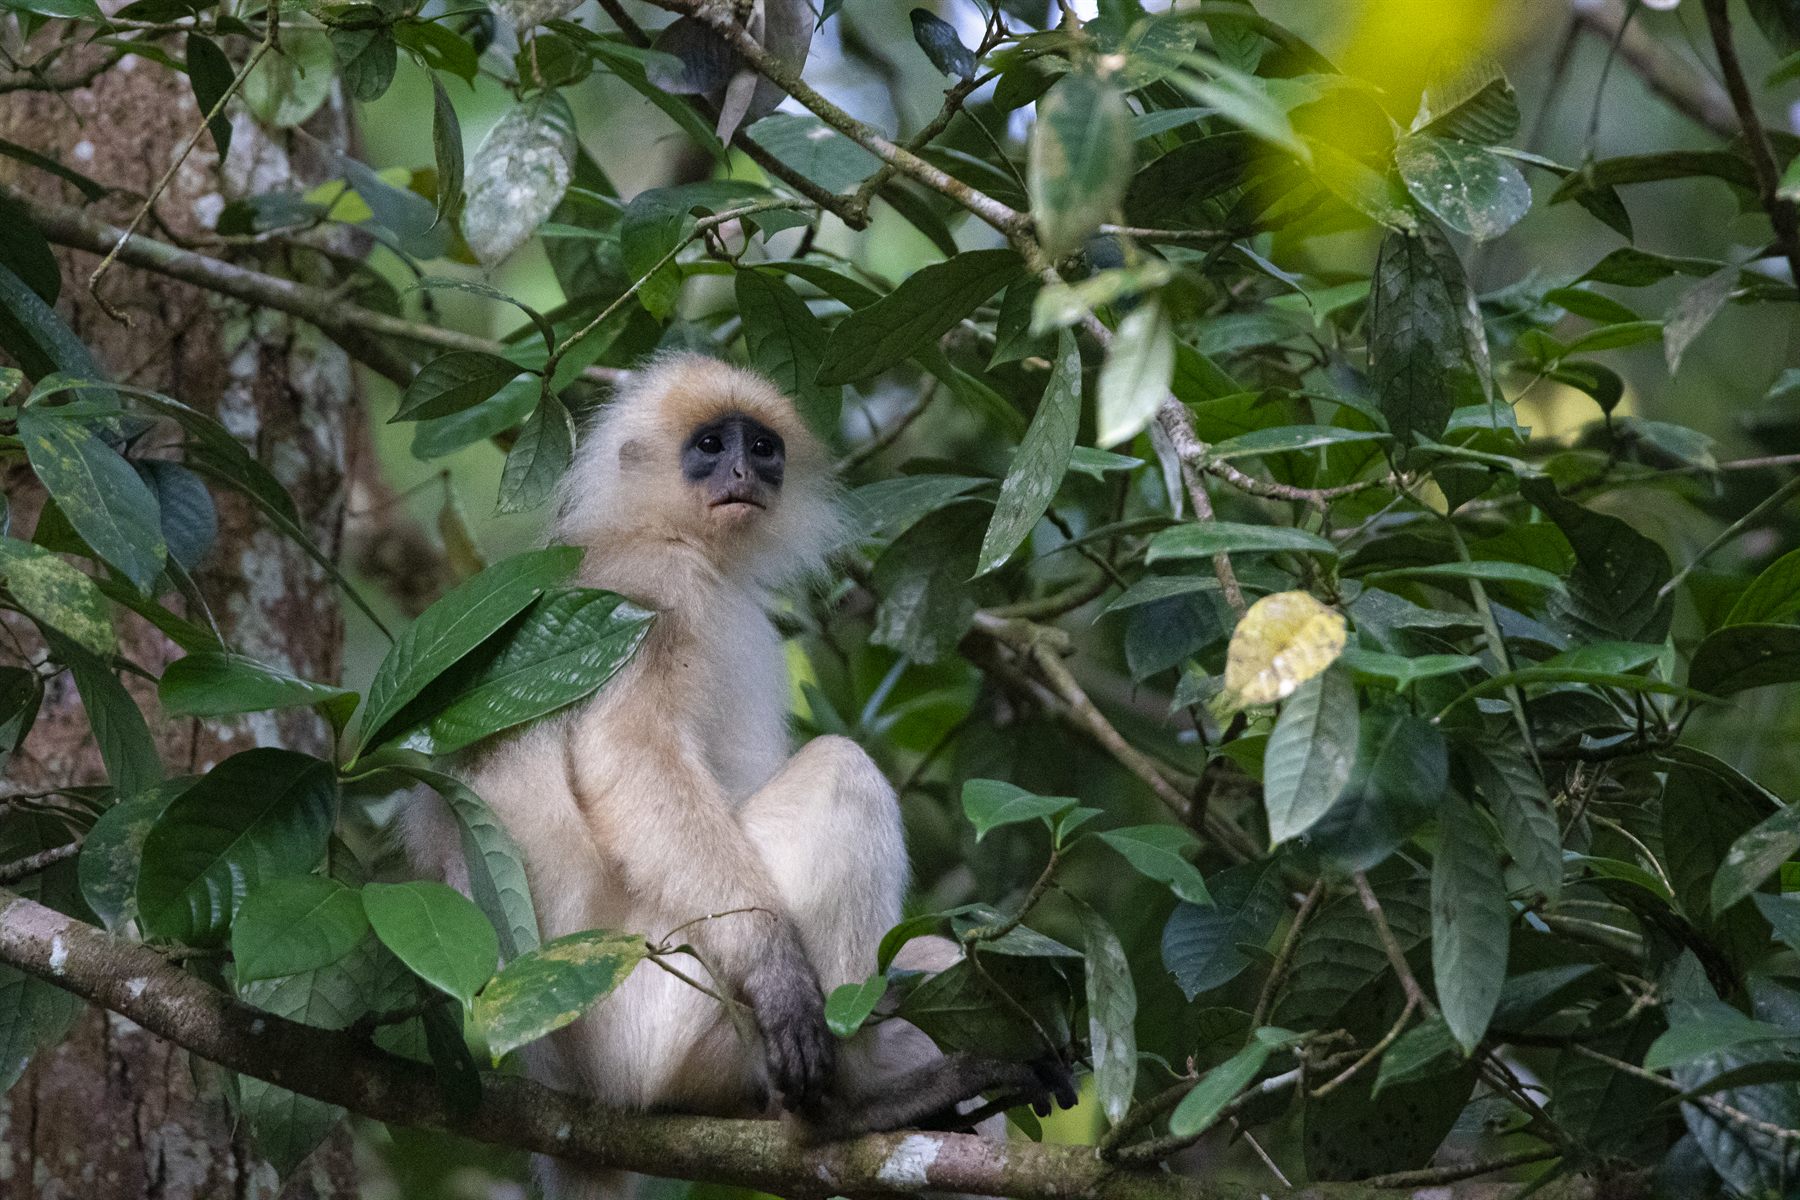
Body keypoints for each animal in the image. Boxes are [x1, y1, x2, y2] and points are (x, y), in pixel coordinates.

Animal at [403, 354, 1074, 1198]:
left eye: (760, 447)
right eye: (709, 445)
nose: (742, 472)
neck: (667, 533)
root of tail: (570, 1093)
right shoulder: (651, 589)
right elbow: (630, 753)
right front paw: (778, 972)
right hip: (665, 1009)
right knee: (842, 772)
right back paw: (856, 1106)